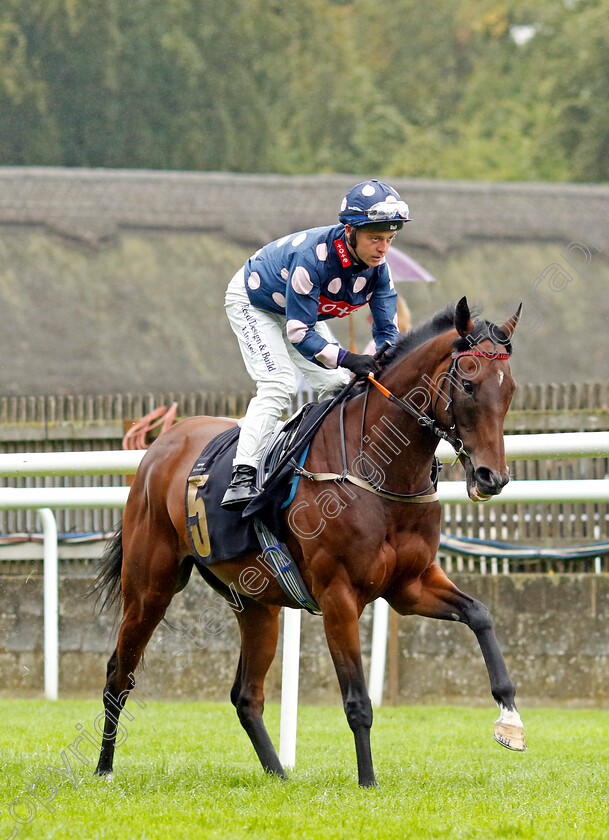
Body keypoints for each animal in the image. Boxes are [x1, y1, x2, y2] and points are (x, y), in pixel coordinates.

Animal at [92, 296, 524, 788]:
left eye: (509, 390)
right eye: (468, 383)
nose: (492, 477)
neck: (377, 471)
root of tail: (162, 445)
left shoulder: (409, 586)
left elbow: (480, 615)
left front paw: (510, 719)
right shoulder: (338, 595)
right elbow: (357, 700)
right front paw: (368, 783)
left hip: (256, 603)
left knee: (246, 695)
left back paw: (278, 774)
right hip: (150, 588)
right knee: (119, 673)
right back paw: (104, 767)